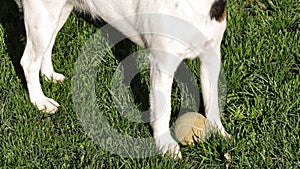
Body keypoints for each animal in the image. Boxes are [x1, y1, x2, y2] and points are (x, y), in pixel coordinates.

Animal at [15, 0, 229, 158]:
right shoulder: (162, 63)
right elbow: (163, 109)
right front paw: (166, 146)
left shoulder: (211, 58)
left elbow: (212, 102)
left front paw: (219, 133)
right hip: (42, 17)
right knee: (28, 61)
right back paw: (40, 101)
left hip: (58, 13)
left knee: (47, 46)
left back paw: (49, 75)